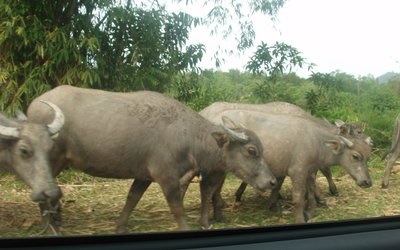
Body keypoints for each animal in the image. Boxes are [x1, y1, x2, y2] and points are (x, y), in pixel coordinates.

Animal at [26, 85, 276, 232]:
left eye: (262, 149)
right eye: (251, 151)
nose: (272, 181)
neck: (188, 136)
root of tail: (34, 105)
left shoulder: (144, 175)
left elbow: (132, 198)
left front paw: (120, 225)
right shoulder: (166, 176)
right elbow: (177, 207)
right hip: (51, 160)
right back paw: (49, 226)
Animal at [203, 110, 372, 224]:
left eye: (368, 156)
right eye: (356, 156)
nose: (367, 182)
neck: (316, 142)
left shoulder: (308, 170)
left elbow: (309, 190)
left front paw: (309, 210)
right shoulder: (297, 171)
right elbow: (298, 197)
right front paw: (300, 217)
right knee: (214, 188)